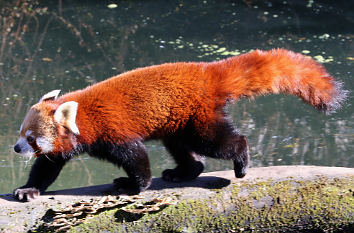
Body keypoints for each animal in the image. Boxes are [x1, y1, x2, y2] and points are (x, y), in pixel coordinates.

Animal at [13, 49, 346, 202]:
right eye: (20, 134)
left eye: (30, 137)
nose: (16, 148)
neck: (84, 119)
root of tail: (207, 71)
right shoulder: (64, 148)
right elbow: (47, 167)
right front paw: (29, 189)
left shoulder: (114, 132)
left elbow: (136, 158)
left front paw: (134, 185)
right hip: (179, 121)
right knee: (184, 150)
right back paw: (184, 171)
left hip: (199, 120)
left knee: (219, 143)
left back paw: (241, 161)